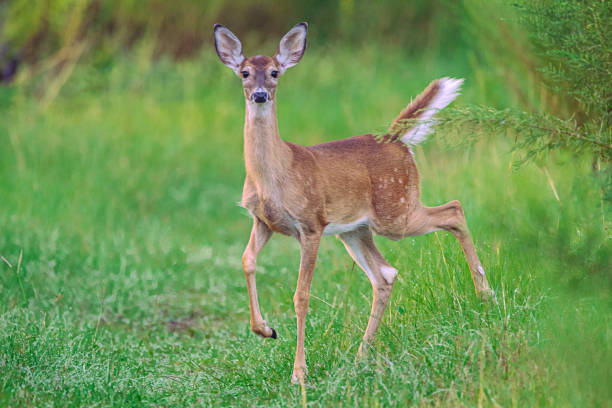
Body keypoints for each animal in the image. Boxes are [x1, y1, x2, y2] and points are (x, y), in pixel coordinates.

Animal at [214, 21, 492, 382]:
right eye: (245, 73)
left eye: (275, 72)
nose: (260, 94)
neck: (274, 175)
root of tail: (396, 139)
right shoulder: (263, 221)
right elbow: (247, 260)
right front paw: (265, 330)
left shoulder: (312, 223)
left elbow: (301, 295)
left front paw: (299, 372)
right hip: (356, 229)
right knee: (385, 273)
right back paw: (361, 356)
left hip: (395, 211)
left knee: (454, 210)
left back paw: (485, 294)